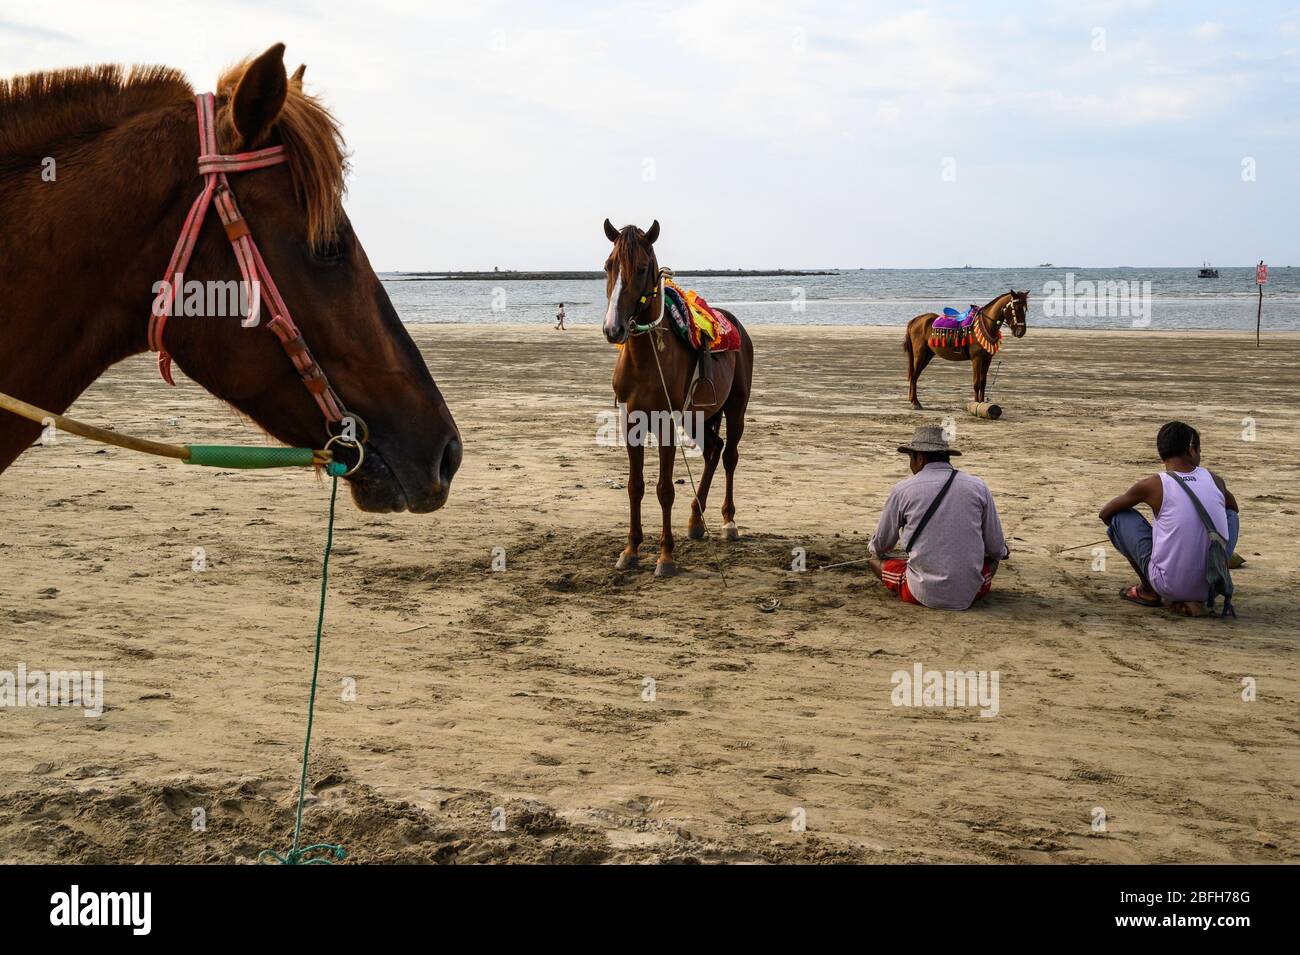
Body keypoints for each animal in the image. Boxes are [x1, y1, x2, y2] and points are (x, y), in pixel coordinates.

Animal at [601, 219, 754, 577]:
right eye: (608, 266)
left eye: (642, 268)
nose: (613, 329)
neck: (646, 359)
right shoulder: (631, 422)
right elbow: (635, 486)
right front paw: (630, 550)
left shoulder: (666, 423)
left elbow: (665, 489)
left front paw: (666, 556)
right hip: (698, 417)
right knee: (713, 450)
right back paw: (696, 520)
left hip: (735, 408)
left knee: (730, 456)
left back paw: (728, 522)